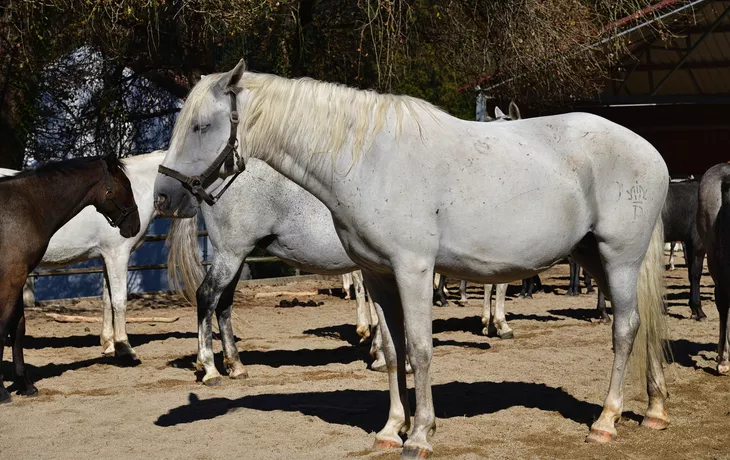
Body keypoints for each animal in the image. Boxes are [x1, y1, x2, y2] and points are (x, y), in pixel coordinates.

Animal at [0, 155, 139, 402]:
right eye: (126, 186)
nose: (135, 225)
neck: (25, 208)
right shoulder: (11, 278)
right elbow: (2, 327)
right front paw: (2, 391)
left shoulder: (18, 278)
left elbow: (17, 328)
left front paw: (25, 384)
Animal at [156, 61, 668, 456]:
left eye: (201, 126)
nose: (163, 196)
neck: (368, 160)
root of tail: (650, 152)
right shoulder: (378, 275)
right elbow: (392, 351)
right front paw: (389, 430)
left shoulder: (415, 270)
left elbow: (420, 349)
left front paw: (420, 435)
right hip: (596, 257)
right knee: (644, 323)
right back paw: (656, 410)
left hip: (619, 259)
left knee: (625, 328)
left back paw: (606, 421)